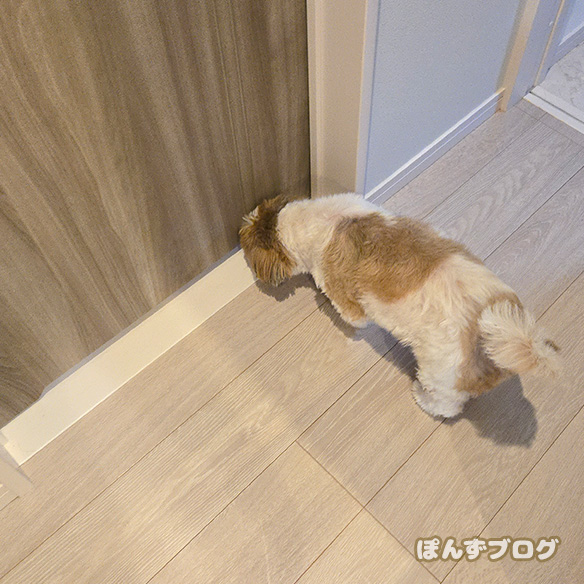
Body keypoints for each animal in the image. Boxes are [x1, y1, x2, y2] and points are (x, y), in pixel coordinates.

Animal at [239, 193, 560, 418]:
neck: (327, 221)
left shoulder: (345, 298)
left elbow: (350, 314)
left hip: (440, 372)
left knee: (446, 405)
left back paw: (423, 399)